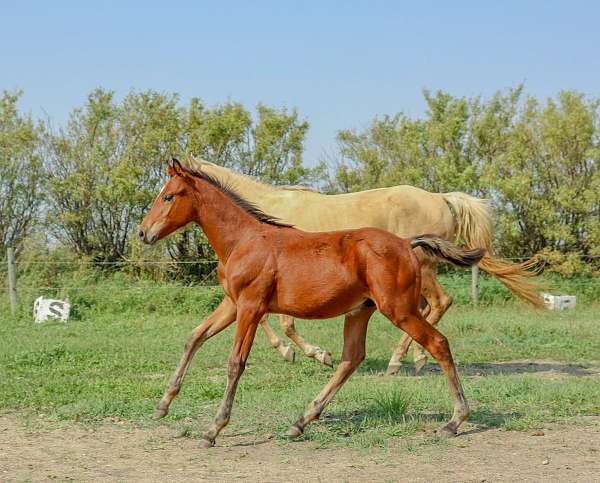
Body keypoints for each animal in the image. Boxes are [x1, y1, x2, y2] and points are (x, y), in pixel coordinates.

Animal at [139, 161, 482, 448]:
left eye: (168, 196)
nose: (143, 233)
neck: (243, 240)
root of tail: (406, 243)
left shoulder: (250, 307)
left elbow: (235, 363)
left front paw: (213, 429)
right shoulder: (232, 305)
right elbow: (194, 338)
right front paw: (162, 405)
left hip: (399, 309)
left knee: (438, 342)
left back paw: (454, 420)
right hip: (361, 310)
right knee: (351, 358)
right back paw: (301, 421)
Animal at [185, 158, 540, 374]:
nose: (156, 230)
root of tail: (441, 198)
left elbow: (282, 323)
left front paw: (315, 354)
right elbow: (268, 321)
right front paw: (298, 353)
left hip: (423, 268)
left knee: (439, 302)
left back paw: (398, 361)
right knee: (427, 309)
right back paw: (417, 357)